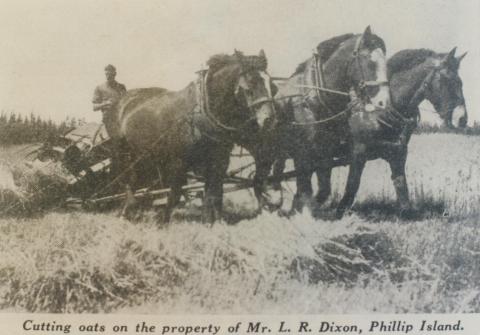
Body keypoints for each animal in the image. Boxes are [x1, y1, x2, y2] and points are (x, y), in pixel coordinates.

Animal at [113, 50, 278, 223]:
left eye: (273, 87)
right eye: (249, 87)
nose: (269, 119)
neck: (202, 113)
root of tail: (123, 100)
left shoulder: (219, 160)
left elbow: (213, 193)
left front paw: (212, 221)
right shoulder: (179, 161)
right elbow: (175, 194)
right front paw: (163, 221)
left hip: (144, 153)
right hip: (122, 152)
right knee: (125, 178)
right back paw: (127, 209)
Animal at [272, 26, 392, 217]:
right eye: (370, 61)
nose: (383, 102)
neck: (316, 97)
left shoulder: (326, 149)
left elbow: (323, 188)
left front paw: (306, 206)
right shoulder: (303, 149)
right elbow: (304, 182)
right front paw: (304, 212)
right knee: (277, 165)